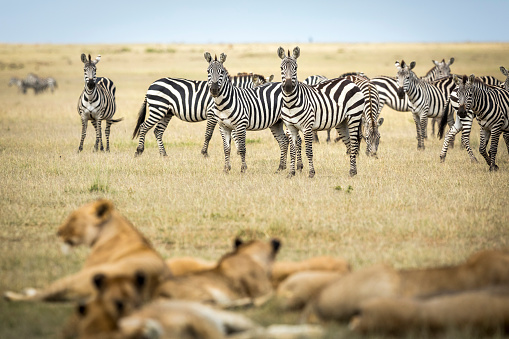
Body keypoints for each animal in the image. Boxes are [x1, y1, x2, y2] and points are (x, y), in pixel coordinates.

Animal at [133, 73, 272, 158]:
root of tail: (151, 85)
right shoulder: (212, 114)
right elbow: (208, 134)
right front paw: (204, 153)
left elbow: (233, 134)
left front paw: (238, 151)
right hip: (158, 108)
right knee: (143, 127)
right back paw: (139, 151)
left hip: (166, 112)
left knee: (158, 131)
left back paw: (164, 154)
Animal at [278, 47, 366, 178]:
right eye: (281, 68)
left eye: (296, 68)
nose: (288, 87)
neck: (290, 104)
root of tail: (350, 81)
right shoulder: (290, 127)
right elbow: (292, 152)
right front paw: (291, 173)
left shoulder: (307, 127)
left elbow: (309, 151)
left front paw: (311, 173)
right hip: (342, 122)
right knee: (349, 144)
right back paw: (352, 171)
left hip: (354, 117)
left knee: (354, 144)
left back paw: (353, 172)